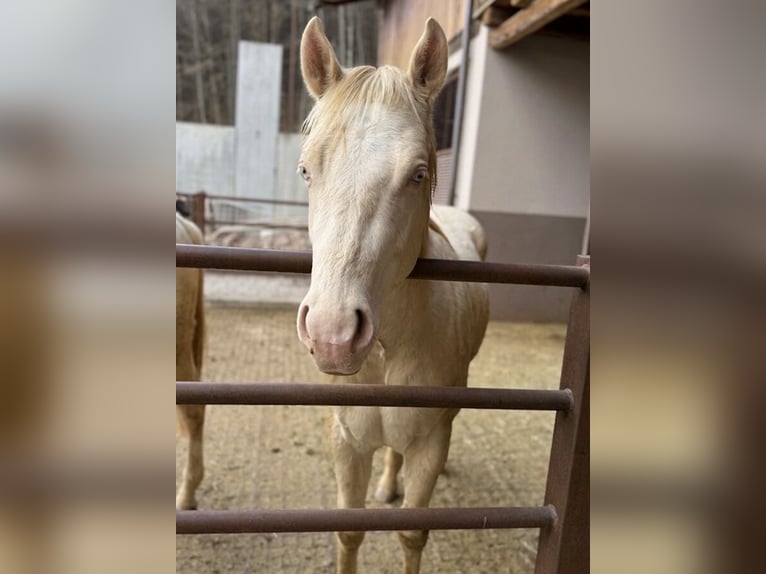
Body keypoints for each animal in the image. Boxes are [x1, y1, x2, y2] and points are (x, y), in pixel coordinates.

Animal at [296, 17, 489, 574]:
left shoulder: (430, 446)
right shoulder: (347, 444)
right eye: (305, 169)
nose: (333, 335)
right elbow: (349, 532)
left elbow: (411, 534)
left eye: (418, 173)